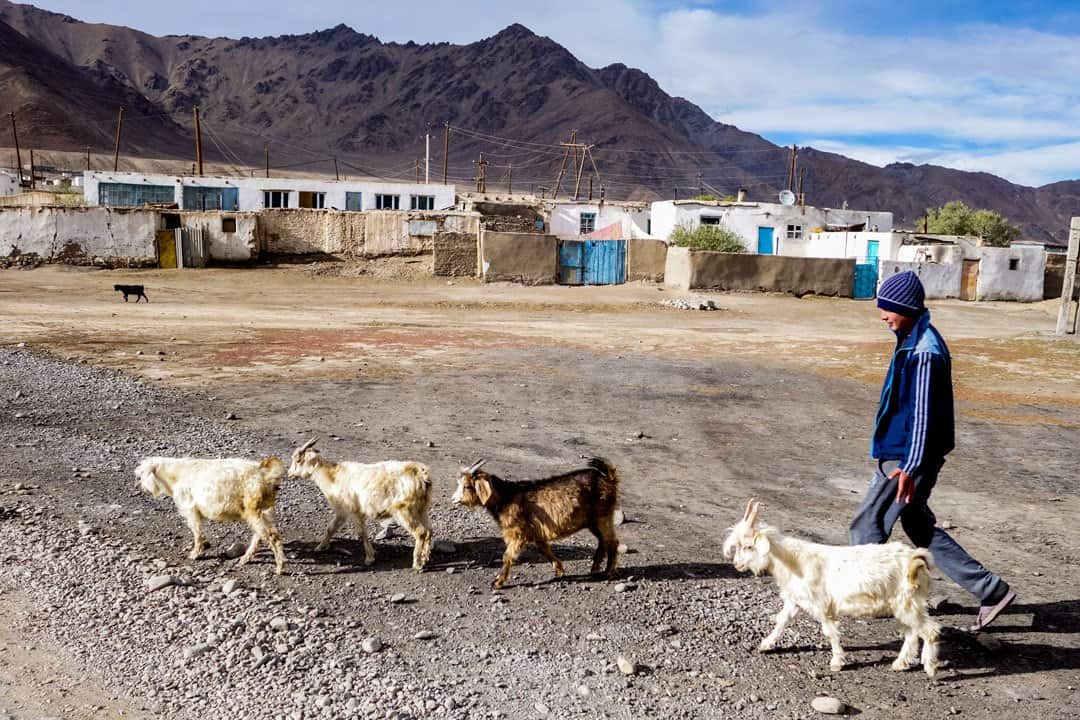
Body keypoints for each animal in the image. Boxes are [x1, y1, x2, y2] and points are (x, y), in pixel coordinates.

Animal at [134, 455, 287, 574]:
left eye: (141, 474)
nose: (139, 485)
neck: (176, 475)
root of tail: (264, 474)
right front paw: (205, 545)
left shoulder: (190, 508)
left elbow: (196, 531)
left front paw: (195, 553)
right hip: (264, 510)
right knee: (260, 535)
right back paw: (245, 558)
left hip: (253, 509)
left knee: (272, 535)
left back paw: (279, 567)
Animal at [291, 436, 438, 569]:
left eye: (297, 460)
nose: (289, 473)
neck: (333, 477)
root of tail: (421, 475)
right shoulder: (342, 511)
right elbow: (331, 528)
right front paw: (320, 547)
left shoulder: (353, 510)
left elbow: (361, 533)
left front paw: (369, 558)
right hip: (421, 508)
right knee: (429, 530)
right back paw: (426, 558)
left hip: (404, 510)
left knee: (420, 532)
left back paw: (417, 564)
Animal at [451, 459, 622, 587]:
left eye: (467, 486)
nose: (453, 499)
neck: (507, 497)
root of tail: (609, 477)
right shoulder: (536, 532)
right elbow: (545, 550)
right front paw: (559, 571)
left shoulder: (517, 533)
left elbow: (507, 556)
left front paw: (498, 582)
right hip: (593, 521)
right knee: (603, 540)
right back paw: (595, 568)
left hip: (603, 516)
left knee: (612, 542)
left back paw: (609, 572)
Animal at [721, 500, 941, 677]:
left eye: (748, 546)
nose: (737, 565)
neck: (794, 561)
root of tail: (916, 559)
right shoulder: (795, 600)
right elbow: (782, 621)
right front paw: (766, 644)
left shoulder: (822, 604)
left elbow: (830, 632)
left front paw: (837, 662)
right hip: (903, 604)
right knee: (912, 633)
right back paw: (901, 663)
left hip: (908, 602)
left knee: (929, 630)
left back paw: (930, 667)